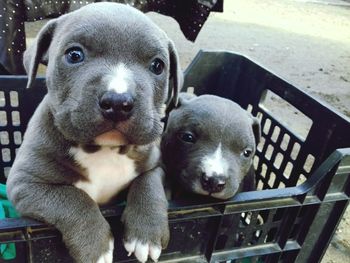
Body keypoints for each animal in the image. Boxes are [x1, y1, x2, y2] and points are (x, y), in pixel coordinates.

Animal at [7, 3, 182, 263]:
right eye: (74, 55)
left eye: (158, 66)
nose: (118, 102)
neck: (105, 149)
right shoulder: (26, 184)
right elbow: (73, 198)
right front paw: (95, 248)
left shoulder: (158, 166)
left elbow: (149, 185)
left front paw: (146, 235)